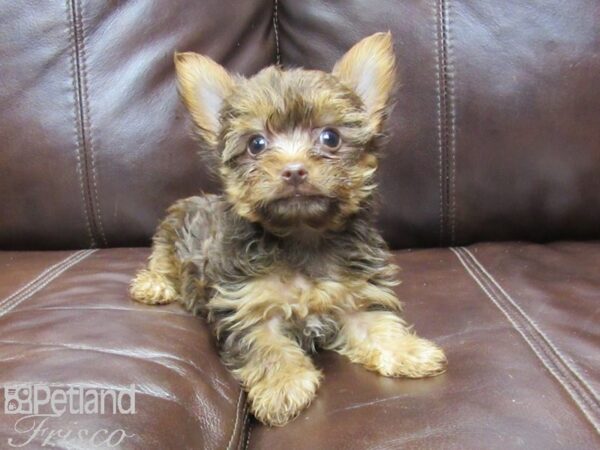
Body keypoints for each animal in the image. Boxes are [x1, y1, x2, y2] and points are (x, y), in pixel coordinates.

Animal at [130, 31, 446, 426]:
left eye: (330, 137)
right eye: (256, 144)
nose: (294, 169)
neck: (302, 236)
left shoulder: (355, 296)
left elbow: (377, 325)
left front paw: (408, 351)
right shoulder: (246, 306)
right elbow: (267, 346)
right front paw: (283, 386)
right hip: (170, 235)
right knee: (159, 261)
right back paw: (152, 285)